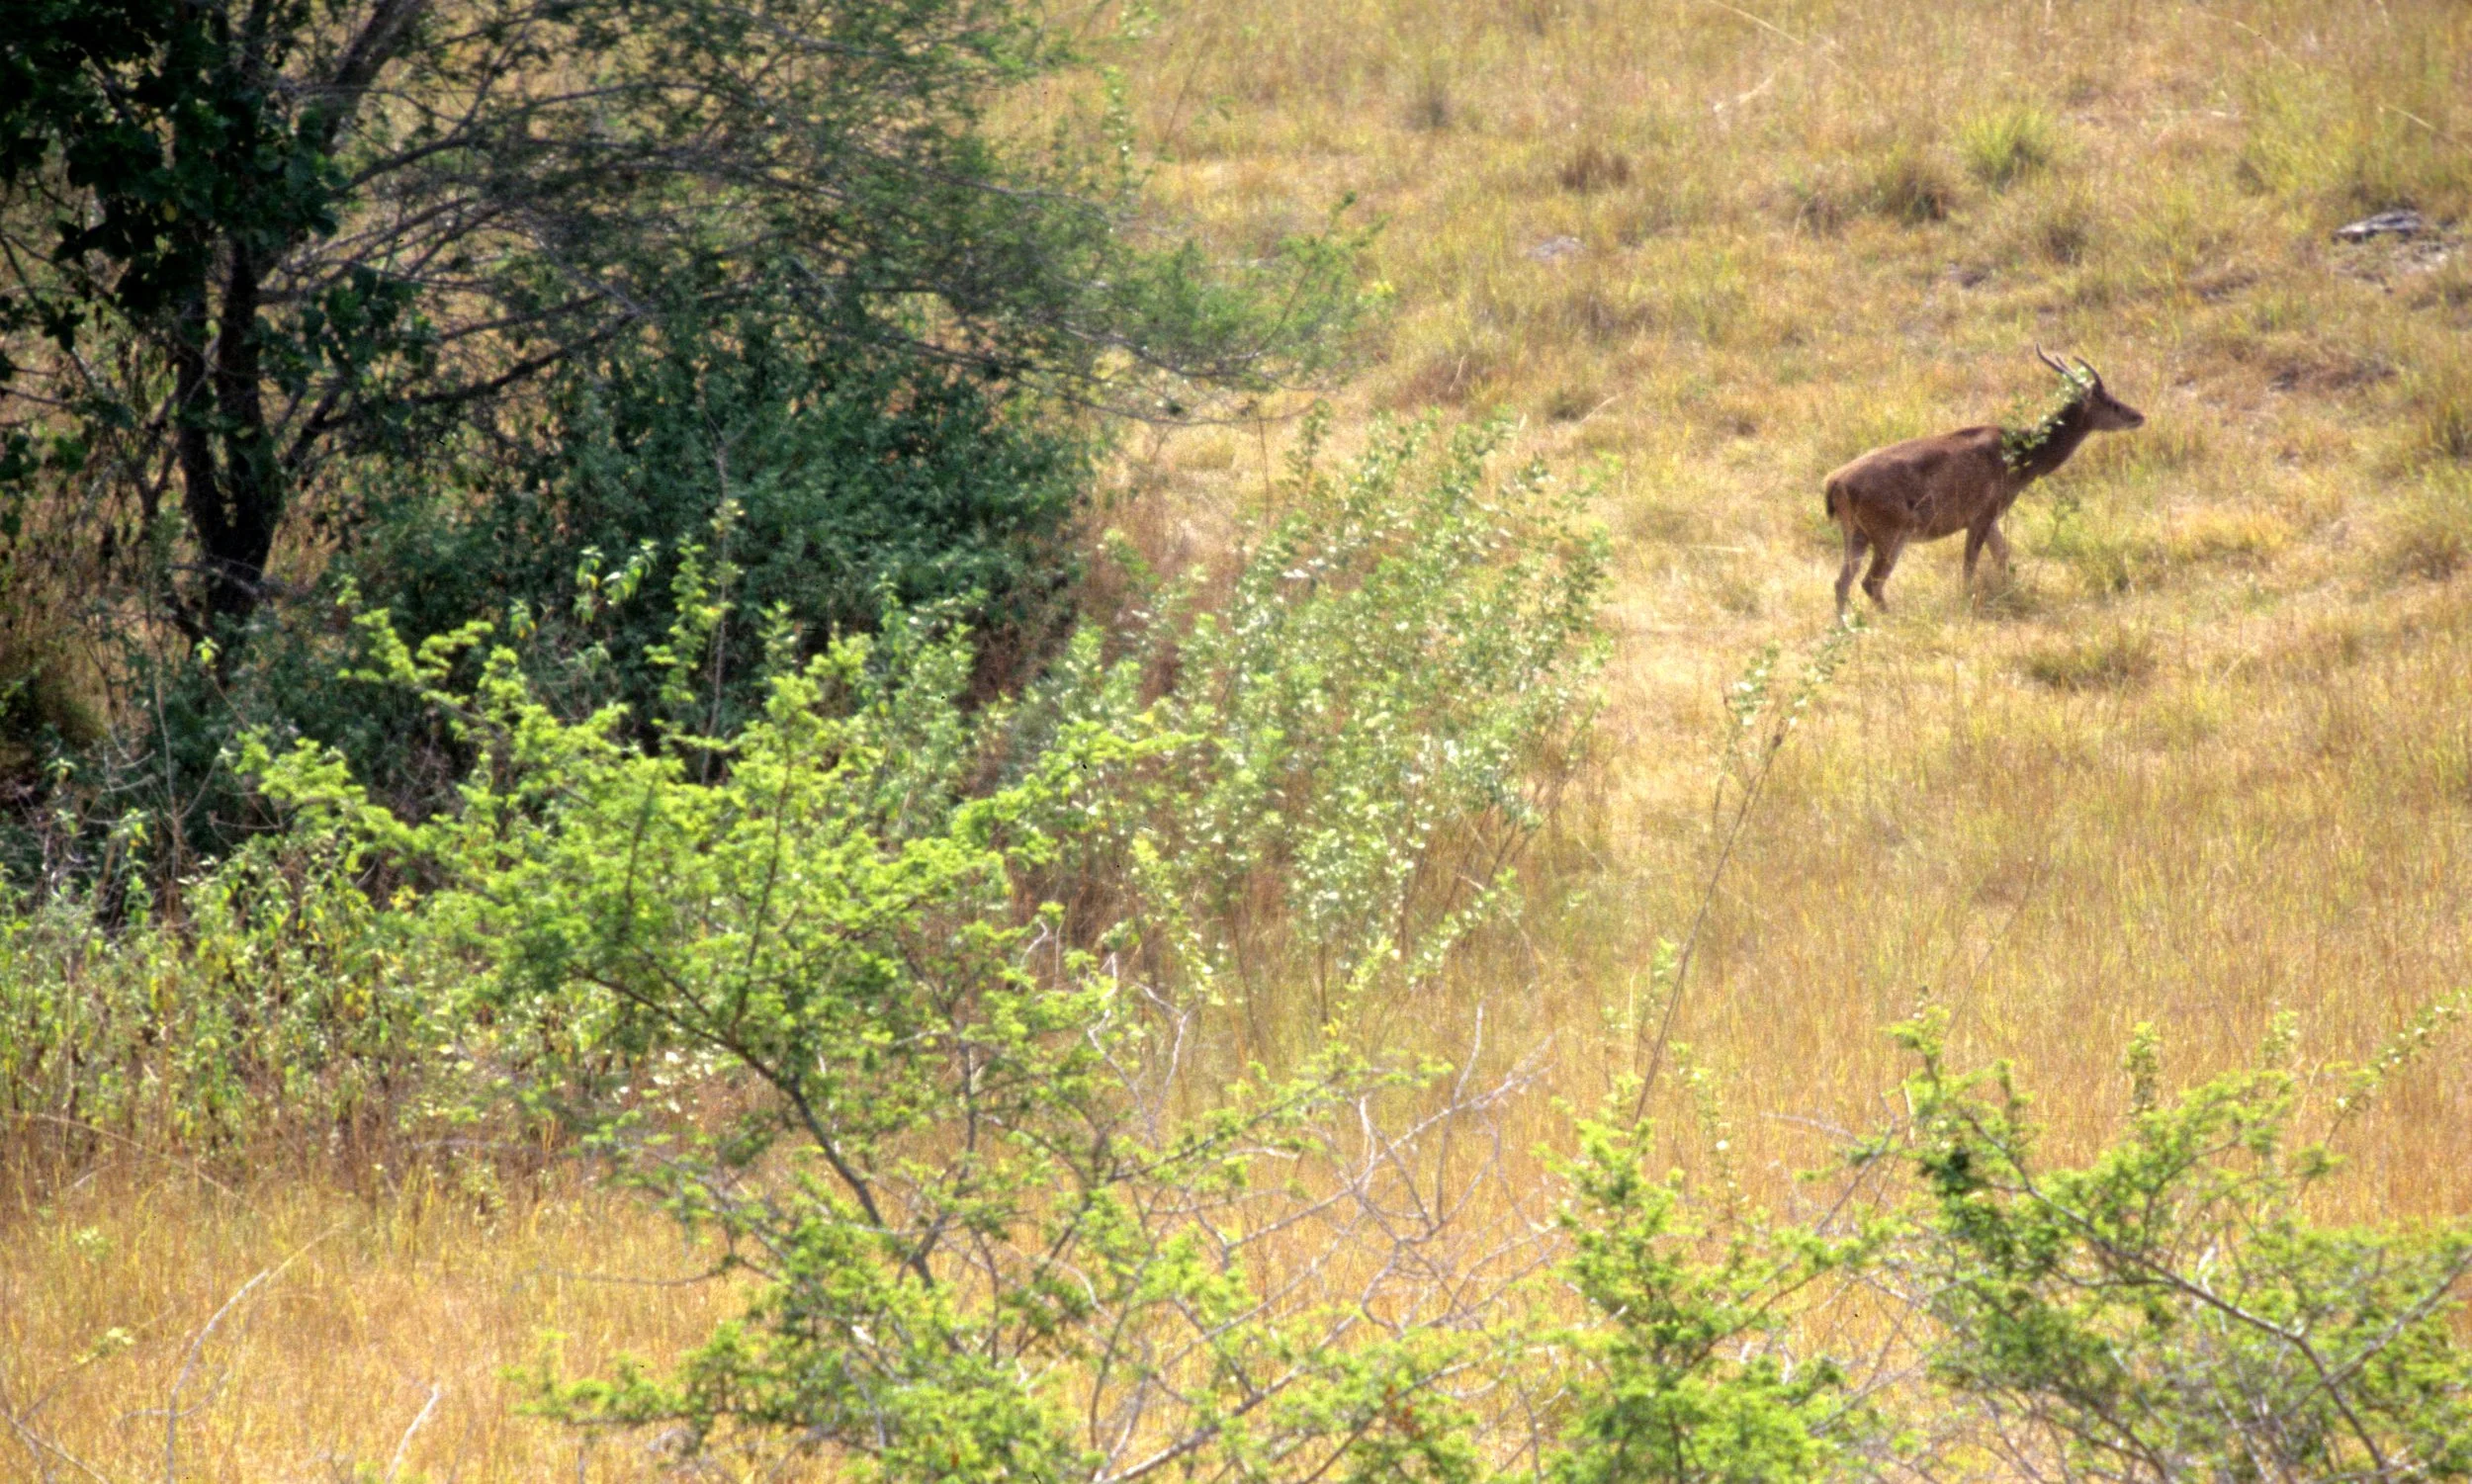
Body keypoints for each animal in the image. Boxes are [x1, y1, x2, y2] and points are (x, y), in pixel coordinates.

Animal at [1824, 347, 2145, 612]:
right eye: (2110, 402)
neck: (2021, 461)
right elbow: (1971, 565)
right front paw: (1969, 602)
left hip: (1855, 532)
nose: (2138, 415)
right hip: (1890, 529)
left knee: (1841, 582)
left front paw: (2007, 592)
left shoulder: (1990, 517)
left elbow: (2001, 555)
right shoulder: (1983, 511)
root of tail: (1834, 483)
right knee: (1871, 582)